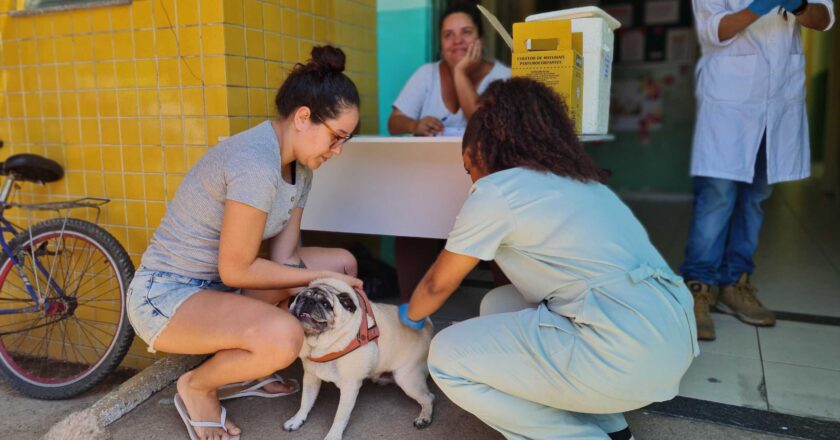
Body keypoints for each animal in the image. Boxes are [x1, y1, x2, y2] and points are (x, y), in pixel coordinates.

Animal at [286, 278, 436, 440]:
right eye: (300, 298)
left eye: (326, 304)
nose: (308, 301)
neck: (321, 345)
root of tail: (427, 325)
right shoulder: (310, 377)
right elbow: (305, 402)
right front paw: (297, 420)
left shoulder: (350, 386)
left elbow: (340, 416)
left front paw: (333, 435)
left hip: (406, 378)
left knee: (429, 397)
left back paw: (424, 418)